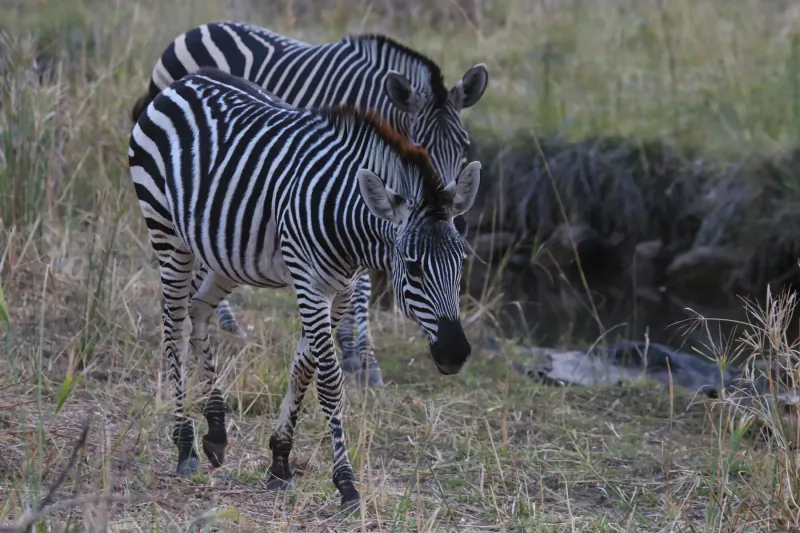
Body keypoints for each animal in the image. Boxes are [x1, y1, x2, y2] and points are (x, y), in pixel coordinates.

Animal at [128, 67, 481, 511]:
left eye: (461, 262)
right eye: (413, 268)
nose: (455, 354)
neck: (348, 218)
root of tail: (185, 81)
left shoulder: (342, 290)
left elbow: (303, 369)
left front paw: (279, 460)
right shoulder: (311, 284)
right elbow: (329, 382)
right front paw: (345, 483)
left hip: (223, 251)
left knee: (198, 311)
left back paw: (216, 430)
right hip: (167, 233)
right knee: (175, 326)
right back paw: (185, 444)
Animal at [131, 21, 488, 387]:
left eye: (463, 146)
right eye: (421, 144)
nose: (455, 216)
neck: (377, 100)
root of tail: (197, 29)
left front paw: (355, 351)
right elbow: (360, 285)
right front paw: (361, 356)